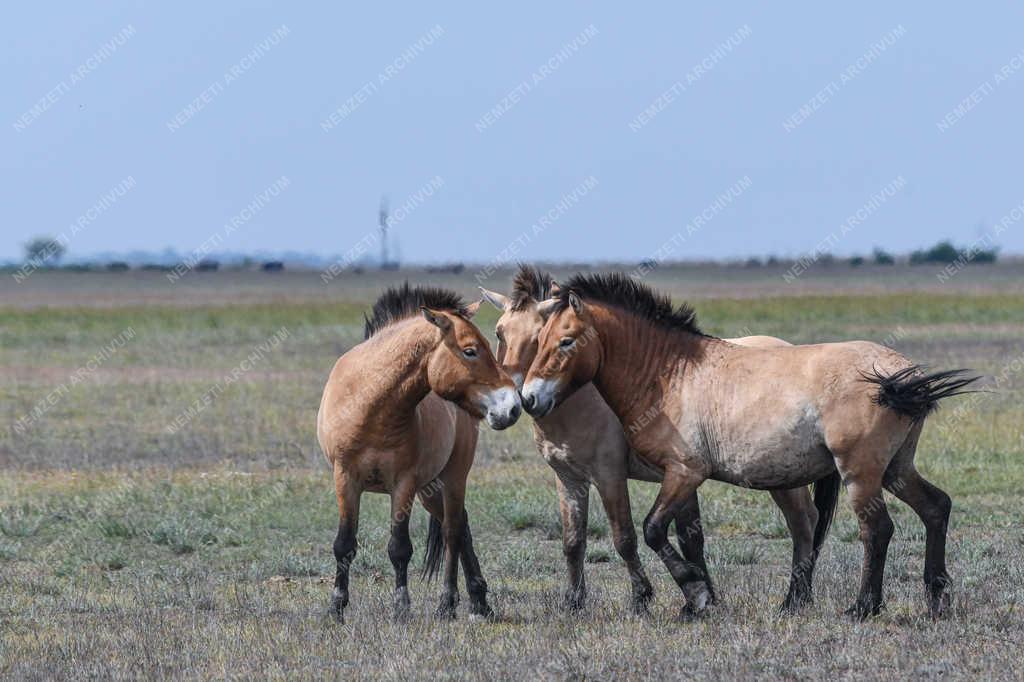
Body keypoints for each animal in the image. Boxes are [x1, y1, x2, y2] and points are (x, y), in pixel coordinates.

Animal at [317, 280, 524, 622]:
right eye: (469, 350)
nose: (512, 407)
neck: (371, 407)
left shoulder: (404, 484)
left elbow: (399, 547)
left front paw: (401, 607)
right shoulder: (344, 478)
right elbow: (344, 544)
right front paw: (336, 607)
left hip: (452, 478)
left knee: (453, 531)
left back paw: (448, 603)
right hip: (430, 489)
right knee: (461, 527)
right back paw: (478, 601)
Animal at [479, 266, 839, 610]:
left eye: (541, 336)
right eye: (499, 332)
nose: (519, 401)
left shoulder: (610, 475)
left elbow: (625, 537)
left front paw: (644, 598)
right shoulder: (569, 479)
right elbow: (573, 541)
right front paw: (573, 603)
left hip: (783, 478)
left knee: (804, 523)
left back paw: (796, 599)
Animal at [524, 274, 978, 618]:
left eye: (566, 341)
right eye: (538, 339)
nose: (529, 398)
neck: (669, 373)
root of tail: (900, 374)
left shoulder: (684, 472)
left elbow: (652, 530)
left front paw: (696, 594)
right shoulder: (676, 478)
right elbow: (677, 534)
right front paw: (697, 599)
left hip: (861, 472)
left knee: (877, 528)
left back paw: (864, 606)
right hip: (895, 469)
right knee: (935, 506)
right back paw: (934, 598)